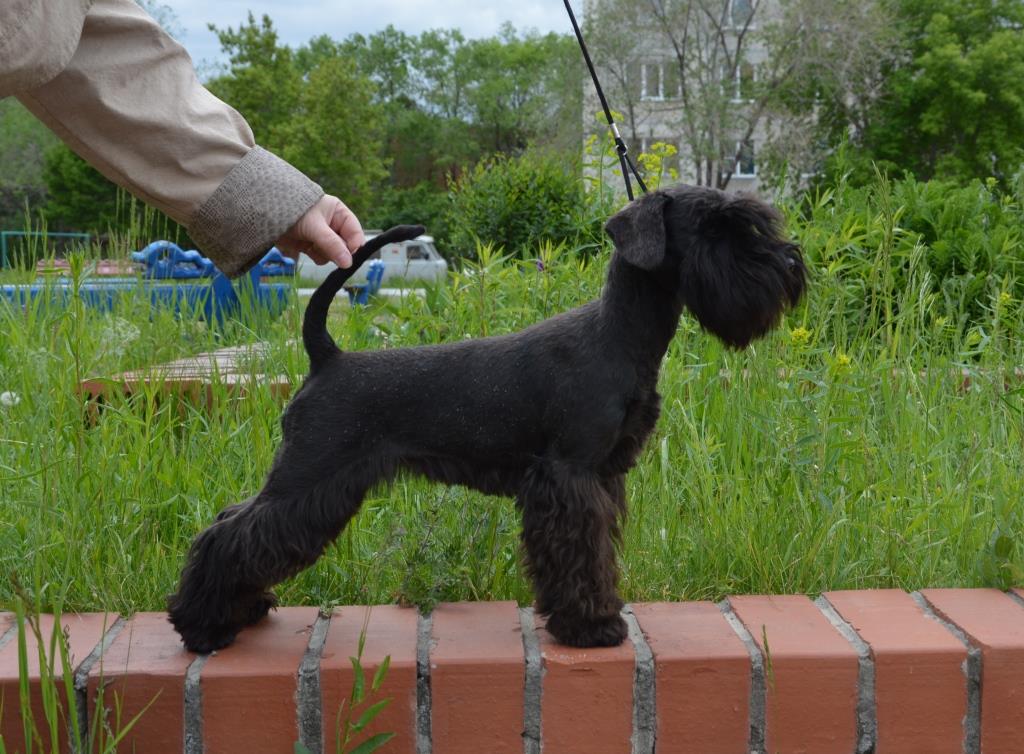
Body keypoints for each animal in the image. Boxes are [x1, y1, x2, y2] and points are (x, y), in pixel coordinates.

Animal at [169, 185, 806, 651]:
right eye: (714, 229)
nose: (788, 264)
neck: (618, 335)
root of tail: (328, 355)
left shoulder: (602, 478)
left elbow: (598, 554)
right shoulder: (570, 477)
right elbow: (577, 554)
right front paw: (590, 627)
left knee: (233, 519)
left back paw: (241, 609)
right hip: (311, 476)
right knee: (232, 533)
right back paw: (203, 626)